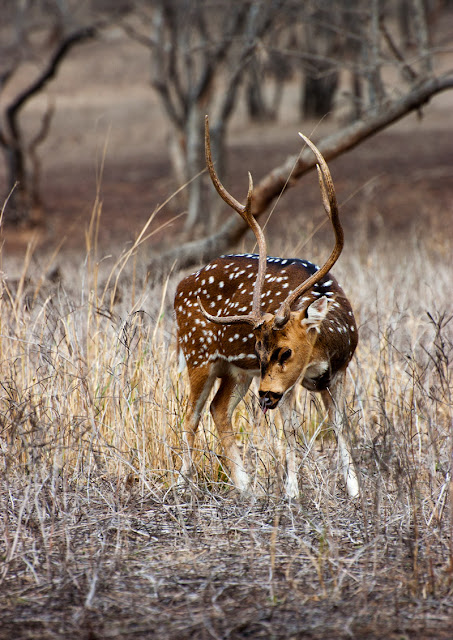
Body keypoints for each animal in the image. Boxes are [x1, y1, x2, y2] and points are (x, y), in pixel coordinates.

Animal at [174, 116, 359, 499]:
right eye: (259, 348)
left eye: (285, 351)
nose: (265, 397)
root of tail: (179, 288)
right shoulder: (284, 384)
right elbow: (291, 429)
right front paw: (292, 493)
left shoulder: (339, 371)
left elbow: (341, 425)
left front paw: (354, 489)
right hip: (198, 353)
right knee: (191, 415)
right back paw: (183, 484)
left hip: (235, 371)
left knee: (218, 409)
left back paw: (246, 487)